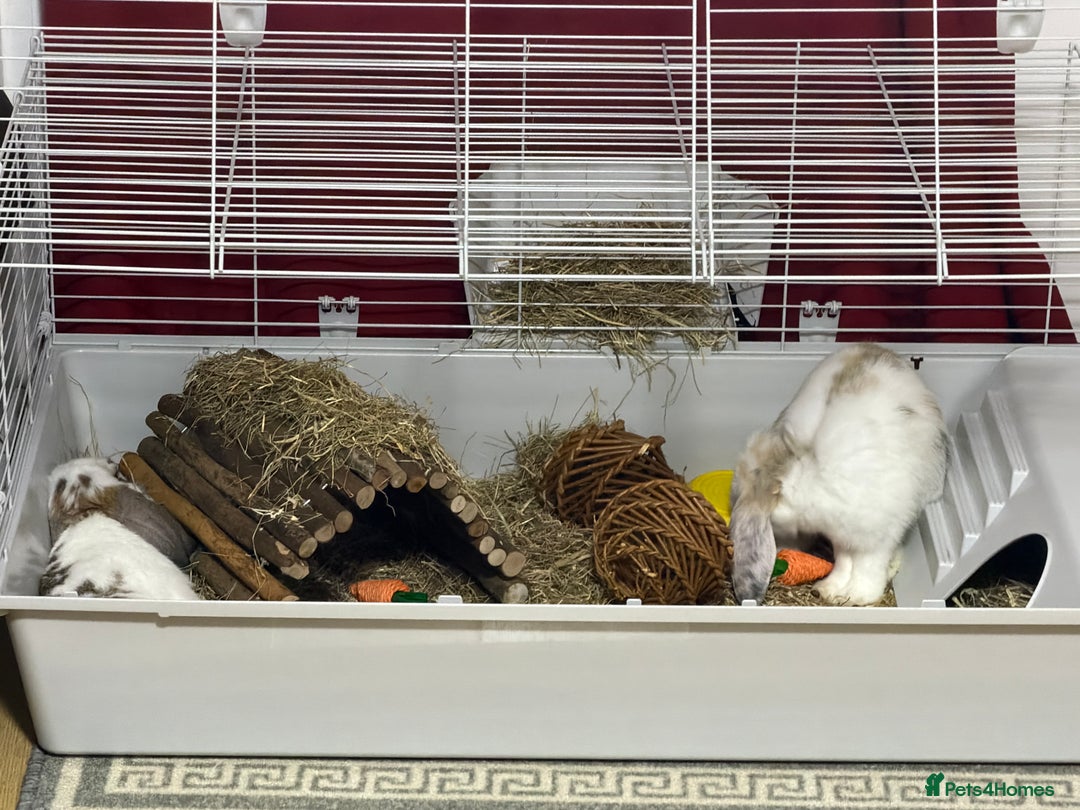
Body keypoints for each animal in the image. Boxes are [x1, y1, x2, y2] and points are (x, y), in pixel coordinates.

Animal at [729, 343, 948, 606]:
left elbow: (868, 565)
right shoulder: (840, 533)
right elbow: (844, 561)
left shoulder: (876, 533)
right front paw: (831, 589)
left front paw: (861, 595)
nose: (782, 548)